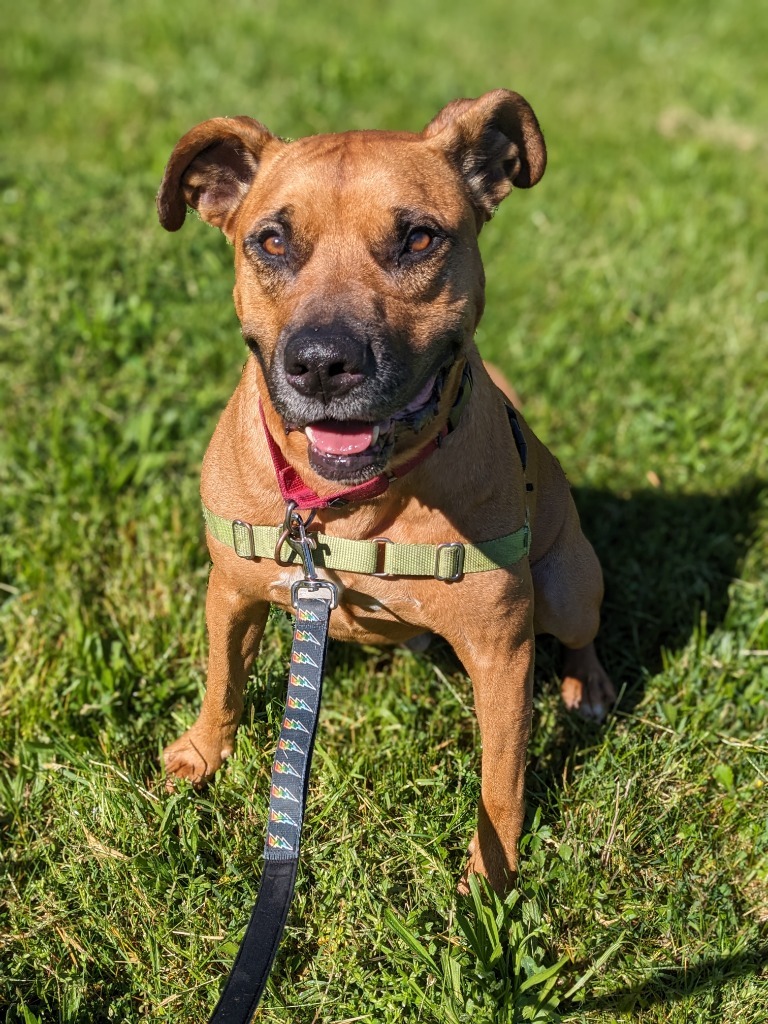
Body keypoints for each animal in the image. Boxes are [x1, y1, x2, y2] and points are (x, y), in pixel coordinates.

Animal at [159, 90, 618, 897]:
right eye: (271, 242)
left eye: (419, 239)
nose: (321, 362)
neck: (345, 506)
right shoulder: (232, 594)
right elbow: (223, 684)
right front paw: (203, 755)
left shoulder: (502, 653)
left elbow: (502, 780)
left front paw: (491, 879)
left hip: (567, 585)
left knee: (580, 634)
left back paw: (586, 687)